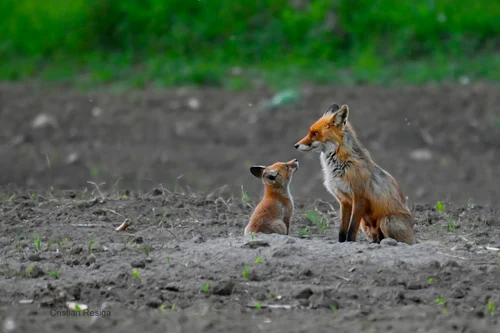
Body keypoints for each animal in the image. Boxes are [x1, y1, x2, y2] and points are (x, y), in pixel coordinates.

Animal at [294, 102, 416, 245]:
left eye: (315, 133)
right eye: (310, 132)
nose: (296, 145)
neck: (342, 166)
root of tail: (413, 234)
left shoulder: (359, 198)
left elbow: (351, 229)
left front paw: (350, 243)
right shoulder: (344, 201)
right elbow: (342, 230)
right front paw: (342, 243)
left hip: (386, 221)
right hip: (366, 225)